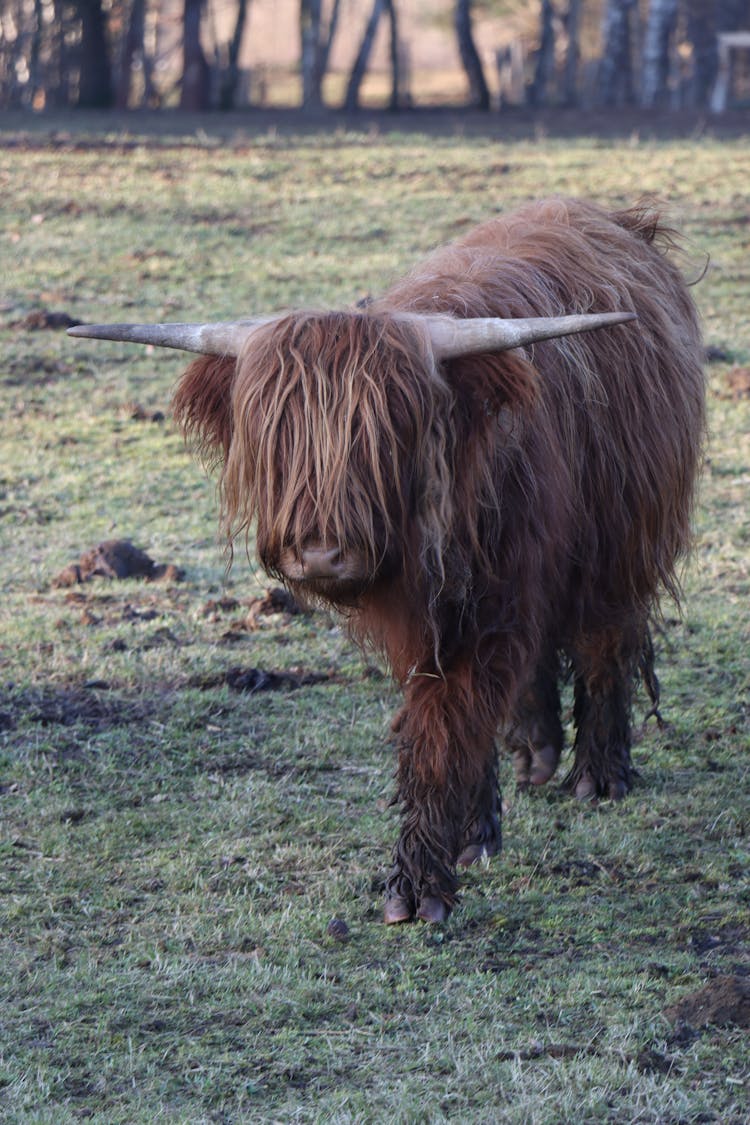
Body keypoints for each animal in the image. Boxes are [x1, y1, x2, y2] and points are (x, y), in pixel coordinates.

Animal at [67, 198, 706, 927]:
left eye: (384, 429)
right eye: (275, 433)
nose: (318, 549)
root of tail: (620, 222)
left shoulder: (490, 602)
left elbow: (445, 728)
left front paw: (419, 883)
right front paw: (473, 831)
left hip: (622, 539)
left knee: (606, 640)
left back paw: (598, 777)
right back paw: (536, 754)